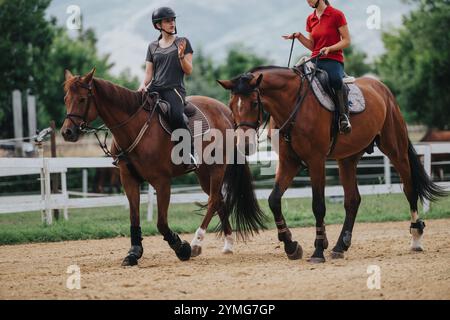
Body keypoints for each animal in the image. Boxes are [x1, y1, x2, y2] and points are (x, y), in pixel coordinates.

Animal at [59, 69, 264, 266]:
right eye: (66, 99)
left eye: (82, 99)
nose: (67, 132)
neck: (135, 127)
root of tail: (226, 112)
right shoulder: (128, 180)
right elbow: (134, 217)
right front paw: (133, 253)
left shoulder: (162, 182)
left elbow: (161, 223)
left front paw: (182, 248)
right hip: (203, 172)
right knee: (219, 200)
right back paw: (228, 243)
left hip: (217, 168)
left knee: (213, 200)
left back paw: (196, 243)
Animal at [218, 64, 446, 262]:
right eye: (231, 106)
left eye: (255, 103)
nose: (243, 144)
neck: (293, 105)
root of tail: (383, 89)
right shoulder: (289, 162)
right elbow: (274, 200)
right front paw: (291, 245)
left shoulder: (316, 161)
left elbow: (318, 205)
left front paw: (318, 249)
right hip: (347, 159)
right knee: (352, 200)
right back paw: (340, 246)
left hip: (396, 150)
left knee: (410, 189)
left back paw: (416, 238)